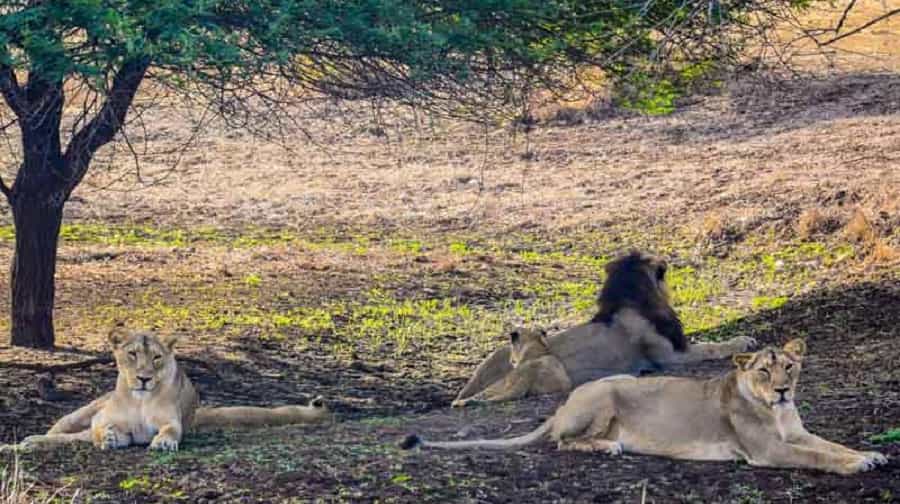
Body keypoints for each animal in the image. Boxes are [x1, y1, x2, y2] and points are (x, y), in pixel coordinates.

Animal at [7, 326, 330, 452]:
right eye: (132, 354)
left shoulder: (170, 422)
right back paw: (23, 443)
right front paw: (109, 437)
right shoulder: (101, 420)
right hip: (76, 415)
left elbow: (170, 431)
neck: (139, 400)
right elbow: (102, 429)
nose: (144, 378)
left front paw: (163, 443)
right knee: (59, 432)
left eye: (157, 357)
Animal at [404, 338, 888, 476]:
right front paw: (856, 465)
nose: (784, 390)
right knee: (563, 442)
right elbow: (818, 458)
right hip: (604, 396)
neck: (778, 412)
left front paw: (870, 454)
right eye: (764, 372)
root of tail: (562, 404)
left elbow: (831, 445)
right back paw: (609, 447)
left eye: (789, 367)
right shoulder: (769, 451)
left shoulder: (798, 433)